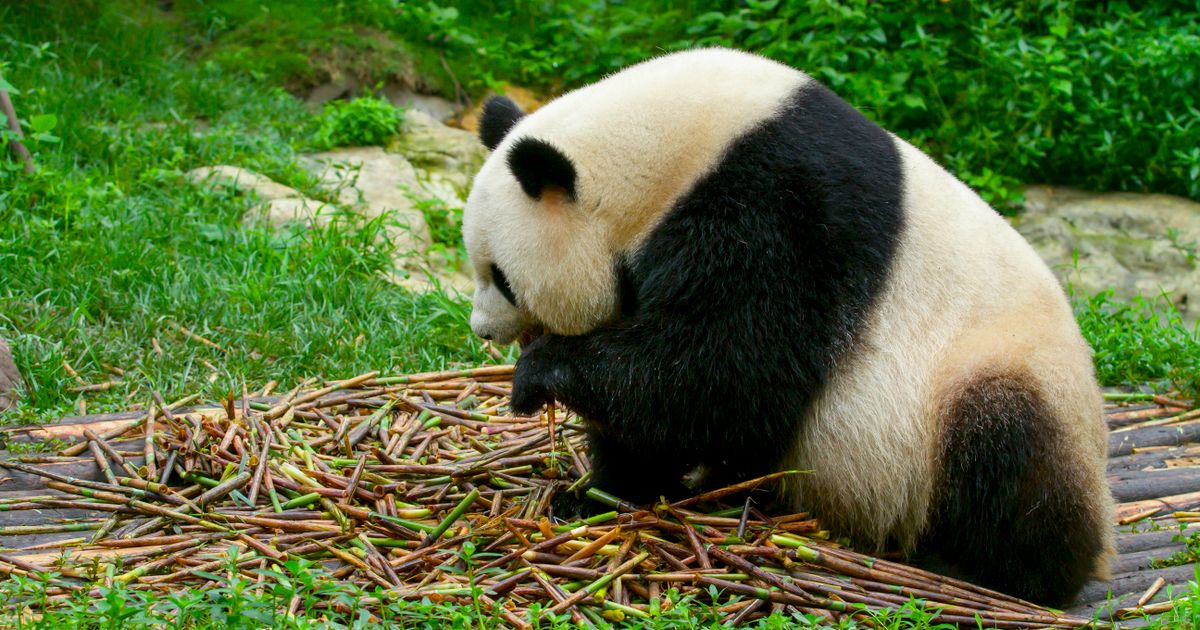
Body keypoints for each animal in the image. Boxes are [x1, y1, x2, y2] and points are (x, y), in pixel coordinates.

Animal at [461, 48, 1114, 606]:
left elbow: (726, 372)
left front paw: (539, 374)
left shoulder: (783, 208)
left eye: (502, 277)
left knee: (1006, 451)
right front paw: (595, 495)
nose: (481, 330)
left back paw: (986, 568)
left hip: (998, 374)